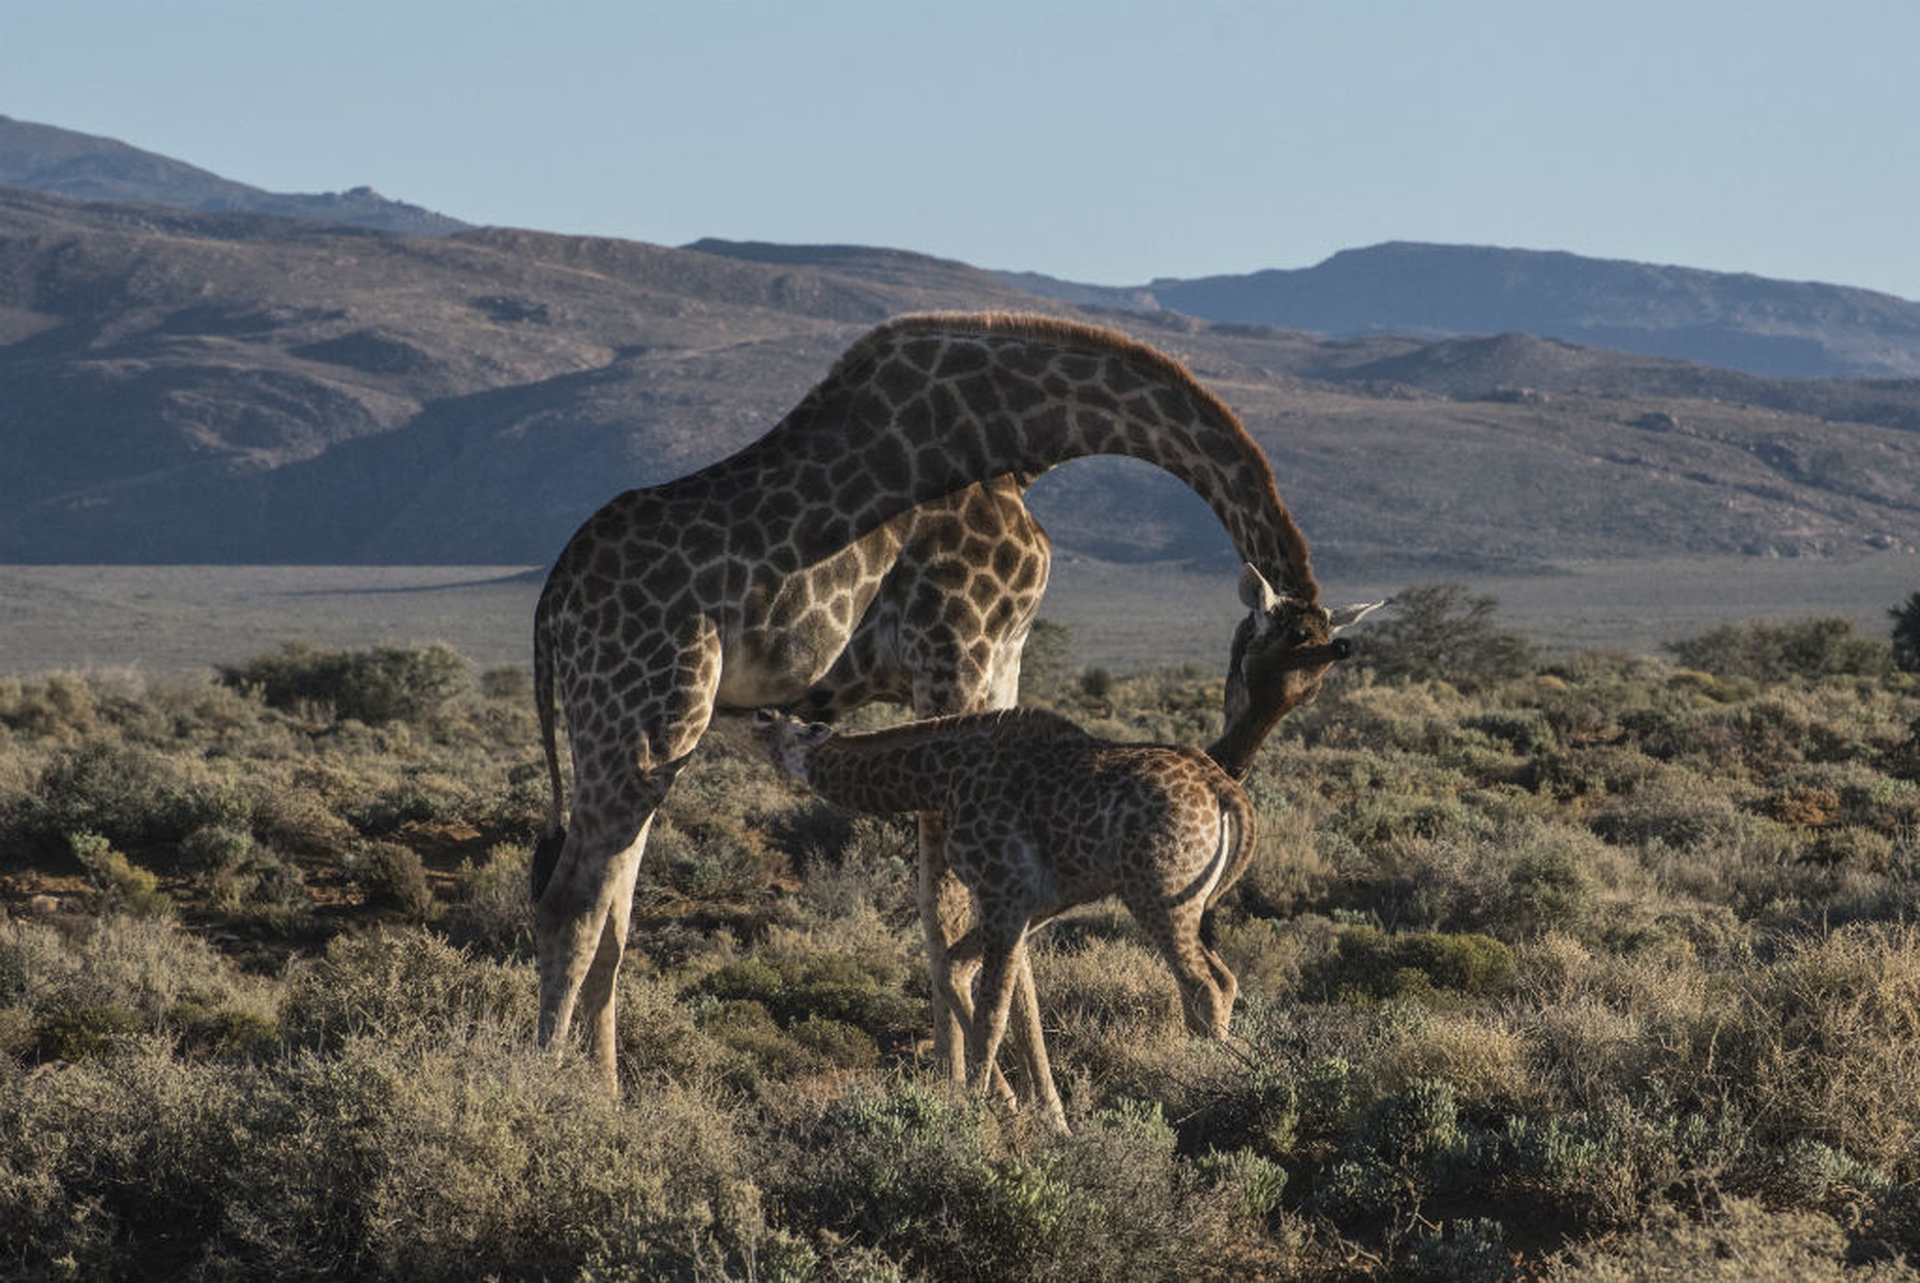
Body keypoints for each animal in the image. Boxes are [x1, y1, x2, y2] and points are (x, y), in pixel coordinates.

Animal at [751, 576, 1373, 1122]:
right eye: (1297, 633)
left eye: (777, 728)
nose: (755, 715)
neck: (940, 775)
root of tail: (1228, 792)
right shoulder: (1035, 905)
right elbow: (962, 972)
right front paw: (1021, 1108)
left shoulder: (1005, 892)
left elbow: (994, 1011)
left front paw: (976, 1116)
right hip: (1177, 901)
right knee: (1219, 982)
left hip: (1161, 896)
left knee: (1205, 984)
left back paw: (1213, 1083)